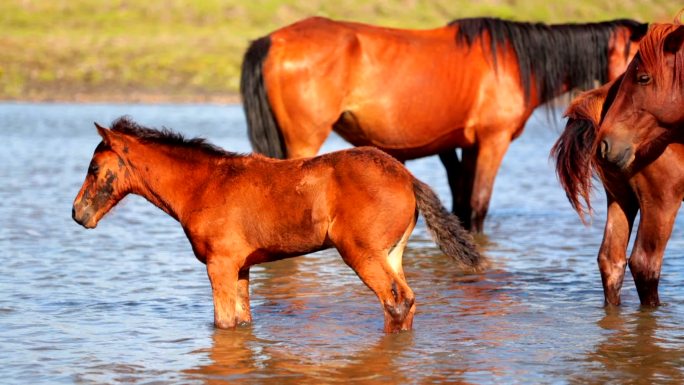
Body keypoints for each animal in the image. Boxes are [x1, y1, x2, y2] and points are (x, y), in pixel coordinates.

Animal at [72, 115, 480, 332]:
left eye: (93, 167)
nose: (78, 213)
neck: (204, 185)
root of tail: (407, 178)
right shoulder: (240, 267)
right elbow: (242, 321)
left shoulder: (219, 265)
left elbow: (223, 323)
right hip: (392, 253)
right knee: (407, 302)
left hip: (361, 253)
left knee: (394, 303)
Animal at [242, 16, 648, 232]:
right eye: (638, 63)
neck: (513, 63)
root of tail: (272, 39)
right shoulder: (492, 142)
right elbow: (479, 205)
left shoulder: (462, 147)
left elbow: (462, 205)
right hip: (304, 141)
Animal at [556, 18, 684, 306]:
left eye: (643, 77)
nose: (607, 143)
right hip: (660, 203)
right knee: (644, 264)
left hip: (621, 198)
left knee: (611, 260)